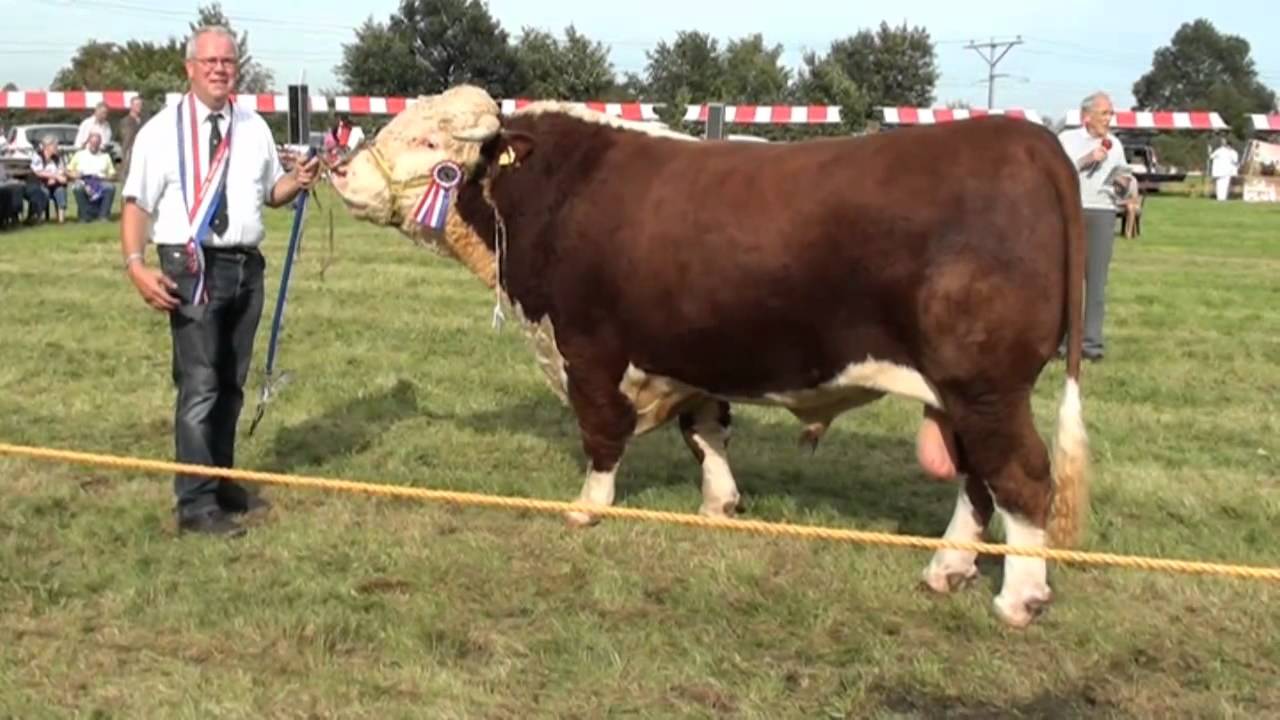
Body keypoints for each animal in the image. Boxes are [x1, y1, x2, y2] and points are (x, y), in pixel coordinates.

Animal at [330, 85, 1090, 628]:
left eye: (431, 140)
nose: (339, 170)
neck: (551, 194)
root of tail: (1026, 138)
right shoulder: (689, 352)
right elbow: (705, 431)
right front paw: (720, 502)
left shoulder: (588, 348)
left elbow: (601, 434)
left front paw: (587, 508)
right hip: (962, 394)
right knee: (977, 480)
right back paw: (947, 570)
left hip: (985, 385)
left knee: (1021, 476)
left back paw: (1018, 598)